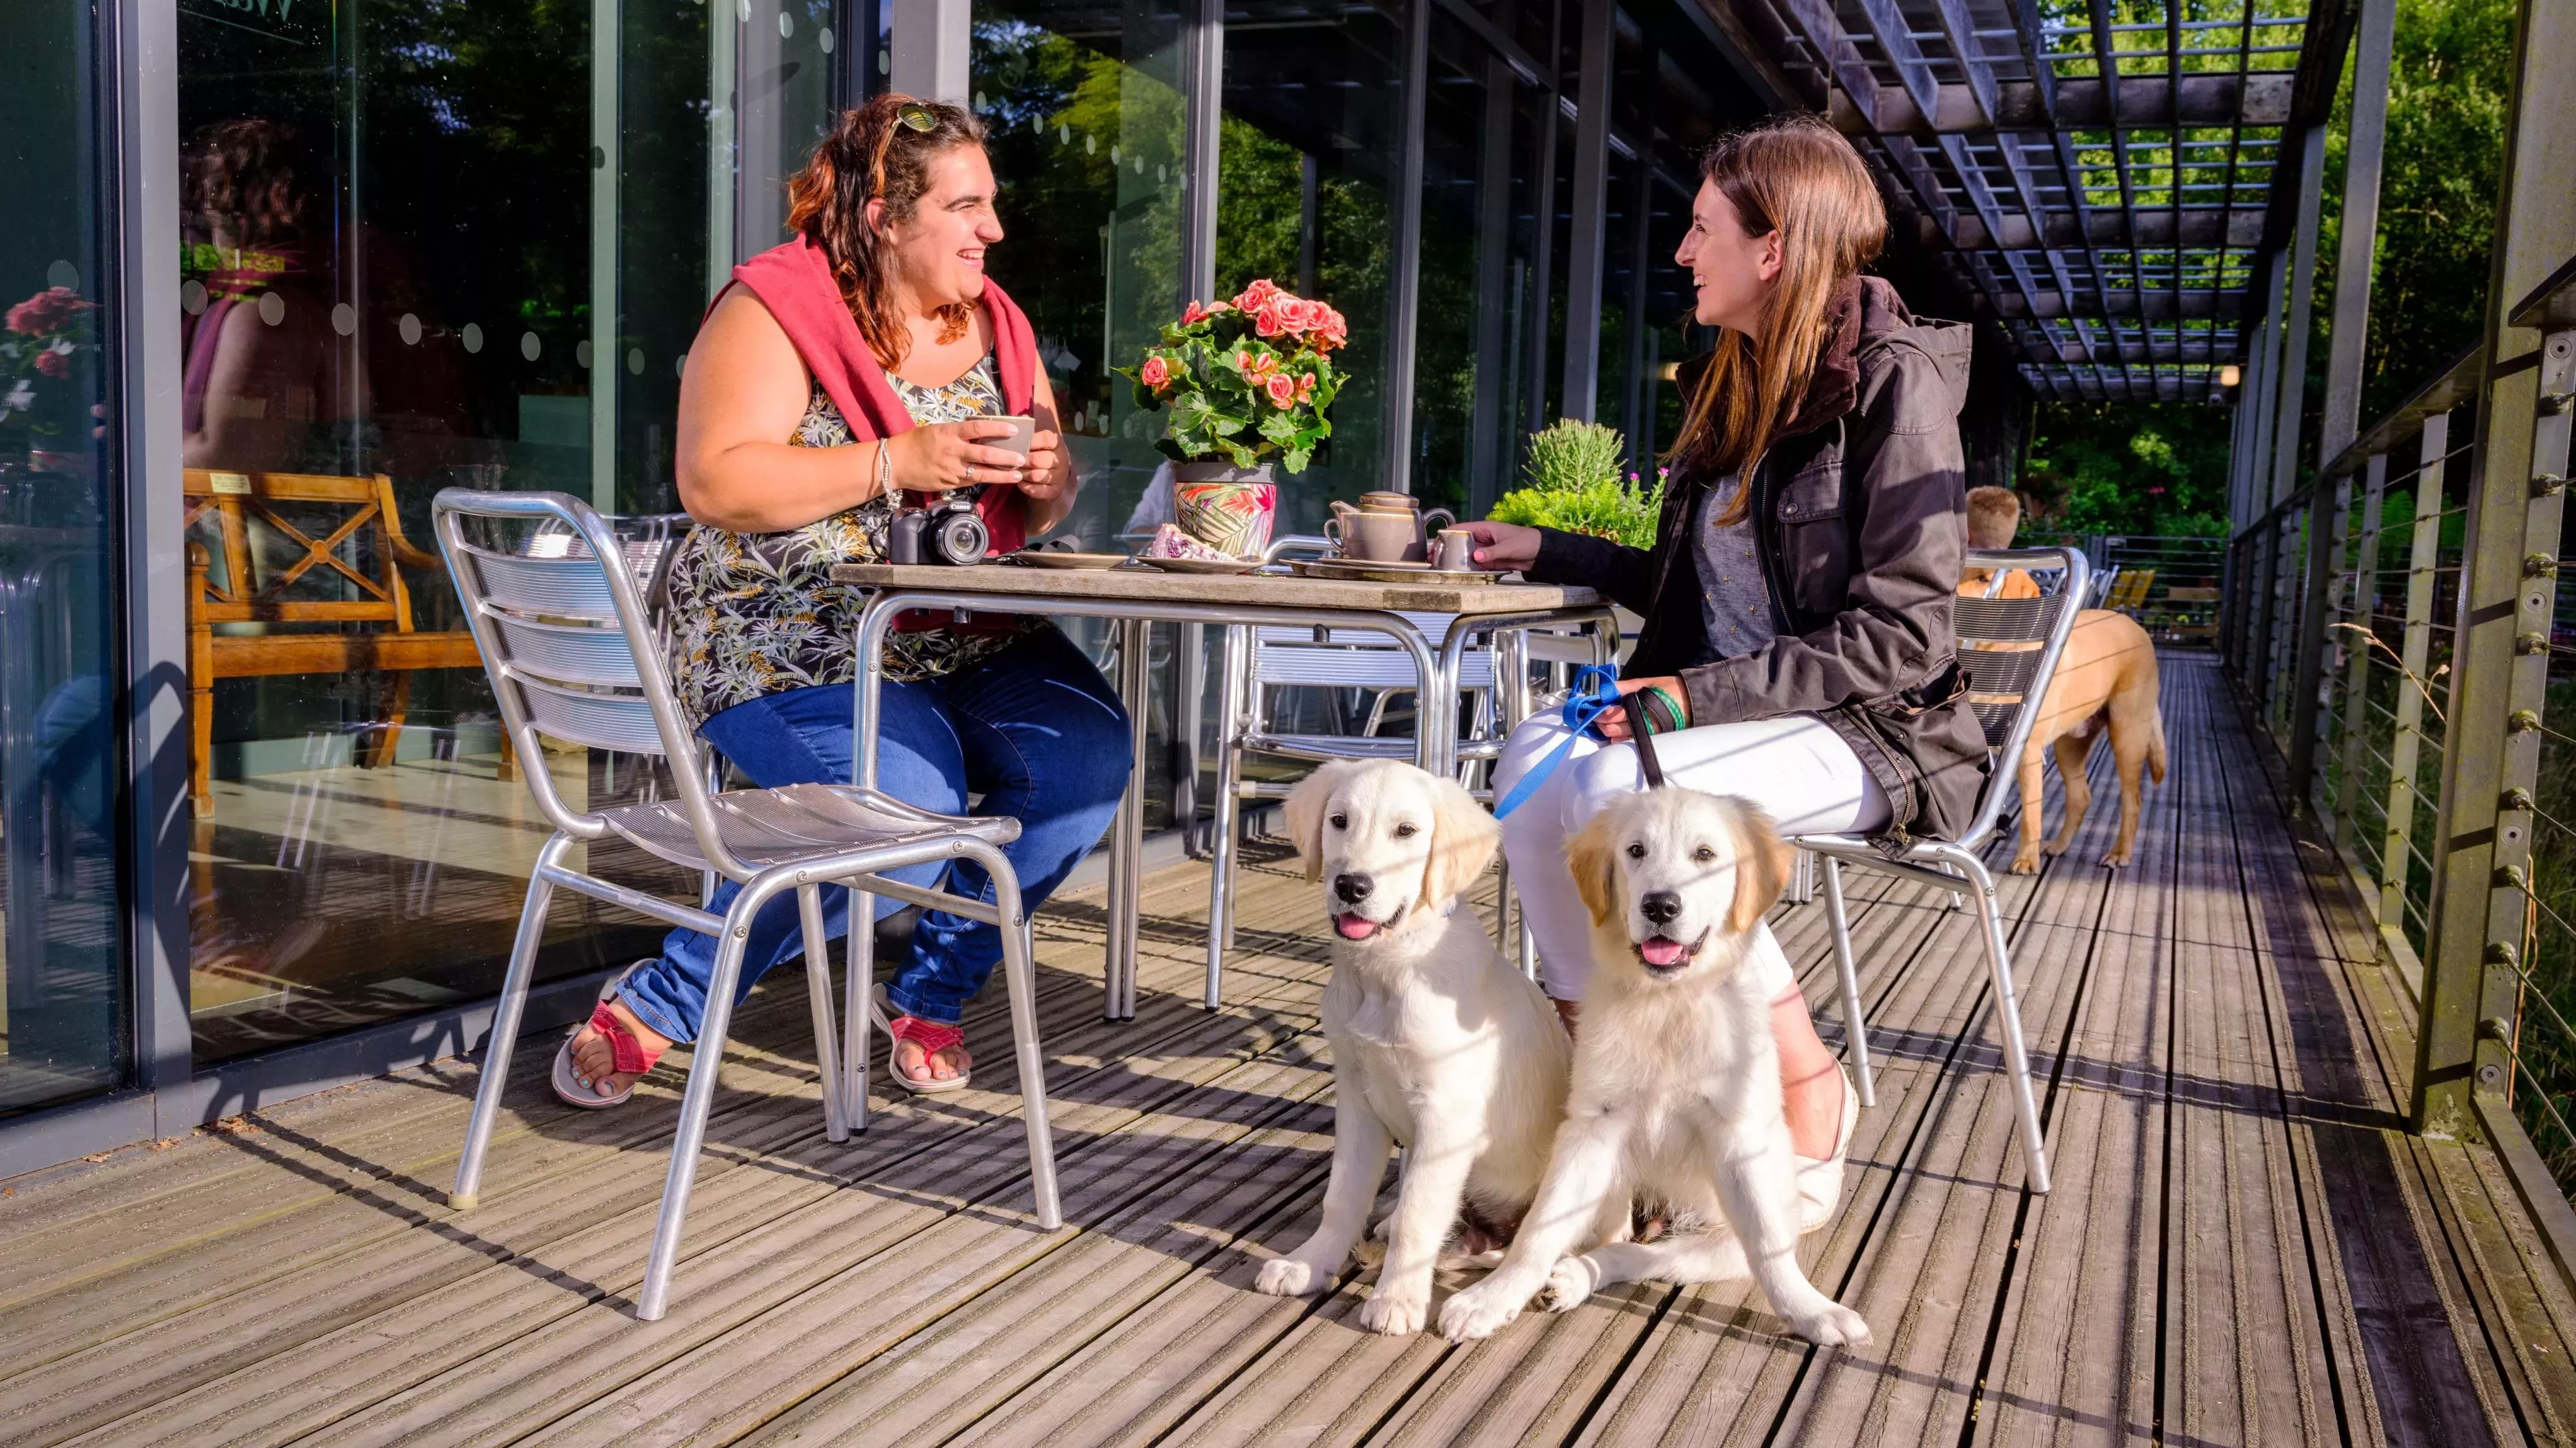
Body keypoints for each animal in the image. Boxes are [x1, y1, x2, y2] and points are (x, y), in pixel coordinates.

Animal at [1256, 757, 1576, 1329]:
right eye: (1339, 821)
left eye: (1406, 831)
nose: (1351, 886)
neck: (1387, 970)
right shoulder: (1358, 1100)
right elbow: (1342, 1196)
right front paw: (1310, 1264)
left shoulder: (1446, 1116)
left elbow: (1419, 1216)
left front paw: (1396, 1299)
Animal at [1432, 788, 1875, 1340]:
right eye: (1636, 851)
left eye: (1705, 855)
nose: (1660, 905)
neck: (1668, 1005)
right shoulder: (1592, 1127)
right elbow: (1541, 1226)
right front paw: (1493, 1299)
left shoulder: (1736, 1136)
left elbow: (1768, 1249)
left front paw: (1811, 1311)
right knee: (1601, 1236)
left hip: (1716, 1238)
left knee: (1649, 1255)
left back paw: (1577, 1276)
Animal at [1957, 484, 2163, 865]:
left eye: (1984, 579)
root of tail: (2134, 624)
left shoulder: (2024, 752)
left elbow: (2031, 815)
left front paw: (2025, 860)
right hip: (2071, 743)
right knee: (2081, 796)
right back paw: (2059, 845)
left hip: (2127, 734)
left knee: (2133, 799)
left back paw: (2119, 853)